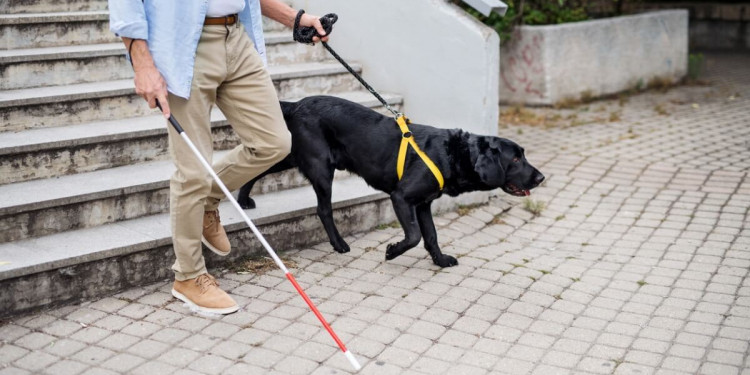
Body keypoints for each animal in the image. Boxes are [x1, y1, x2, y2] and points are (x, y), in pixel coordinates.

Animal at [238, 96, 544, 268]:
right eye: (515, 159)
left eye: (523, 155)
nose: (541, 177)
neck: (453, 153)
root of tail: (297, 104)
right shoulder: (402, 197)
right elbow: (414, 235)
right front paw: (392, 252)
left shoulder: (423, 204)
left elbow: (431, 236)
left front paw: (440, 260)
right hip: (321, 167)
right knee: (323, 209)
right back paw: (339, 244)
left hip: (292, 154)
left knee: (260, 165)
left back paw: (241, 199)